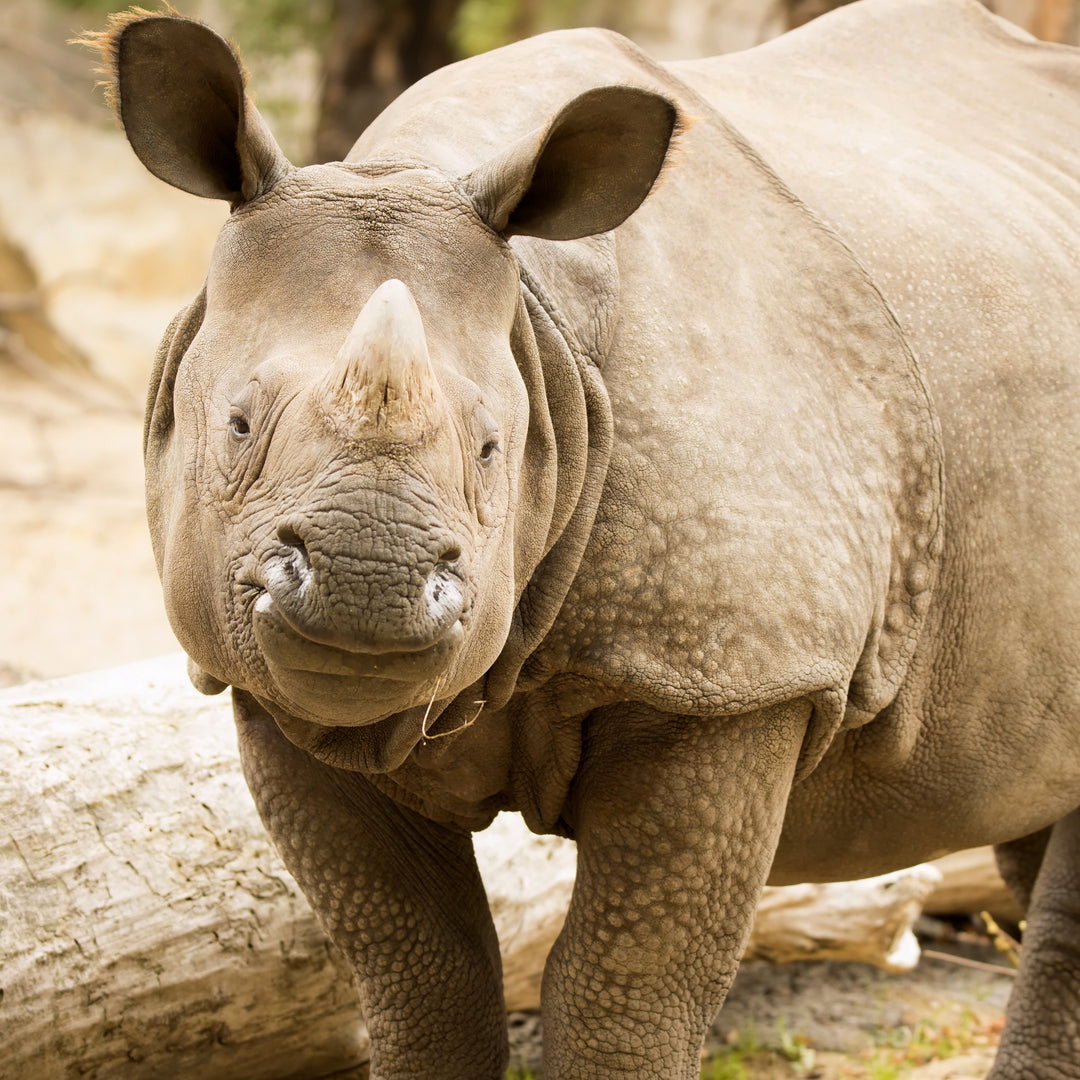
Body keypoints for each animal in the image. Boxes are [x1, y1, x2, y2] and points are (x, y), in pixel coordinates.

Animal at [98, 0, 1080, 1075]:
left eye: (493, 447)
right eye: (237, 425)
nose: (369, 583)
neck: (543, 324)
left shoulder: (733, 674)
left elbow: (621, 992)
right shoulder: (273, 691)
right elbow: (418, 974)